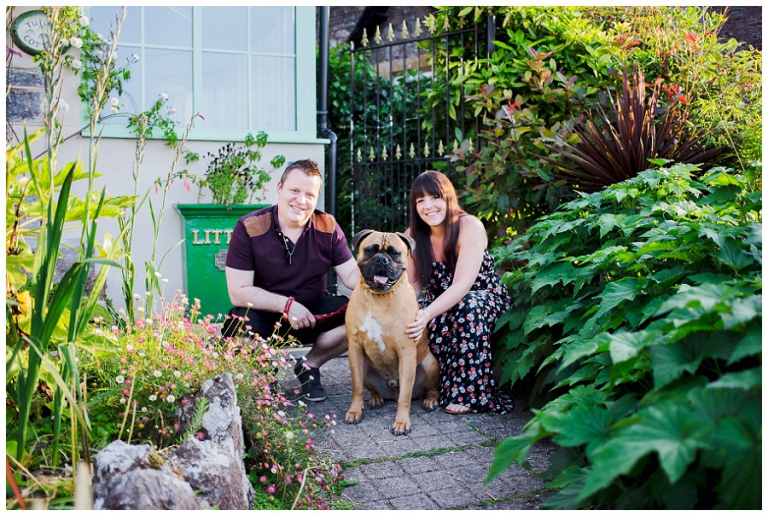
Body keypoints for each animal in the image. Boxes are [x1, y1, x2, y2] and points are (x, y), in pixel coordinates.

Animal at [344, 230, 440, 436]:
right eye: (371, 250)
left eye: (394, 253)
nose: (381, 259)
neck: (378, 297)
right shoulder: (355, 349)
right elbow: (357, 387)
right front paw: (354, 411)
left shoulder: (406, 351)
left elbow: (405, 395)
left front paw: (402, 422)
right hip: (365, 367)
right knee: (371, 388)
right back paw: (376, 398)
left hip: (430, 364)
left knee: (430, 388)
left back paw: (431, 400)